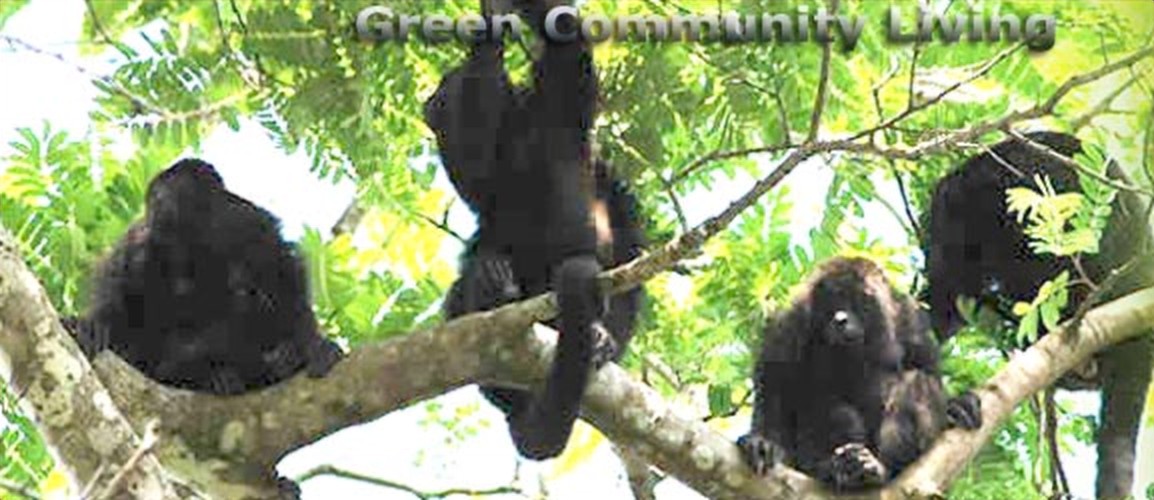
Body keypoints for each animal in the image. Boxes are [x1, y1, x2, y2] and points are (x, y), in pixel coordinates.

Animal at [738, 257, 982, 491]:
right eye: (832, 302)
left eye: (855, 300)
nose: (840, 319)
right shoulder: (789, 321)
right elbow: (774, 384)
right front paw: (761, 443)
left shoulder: (911, 318)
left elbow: (928, 368)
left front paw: (956, 405)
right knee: (833, 409)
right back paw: (836, 468)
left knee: (917, 383)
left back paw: (881, 468)